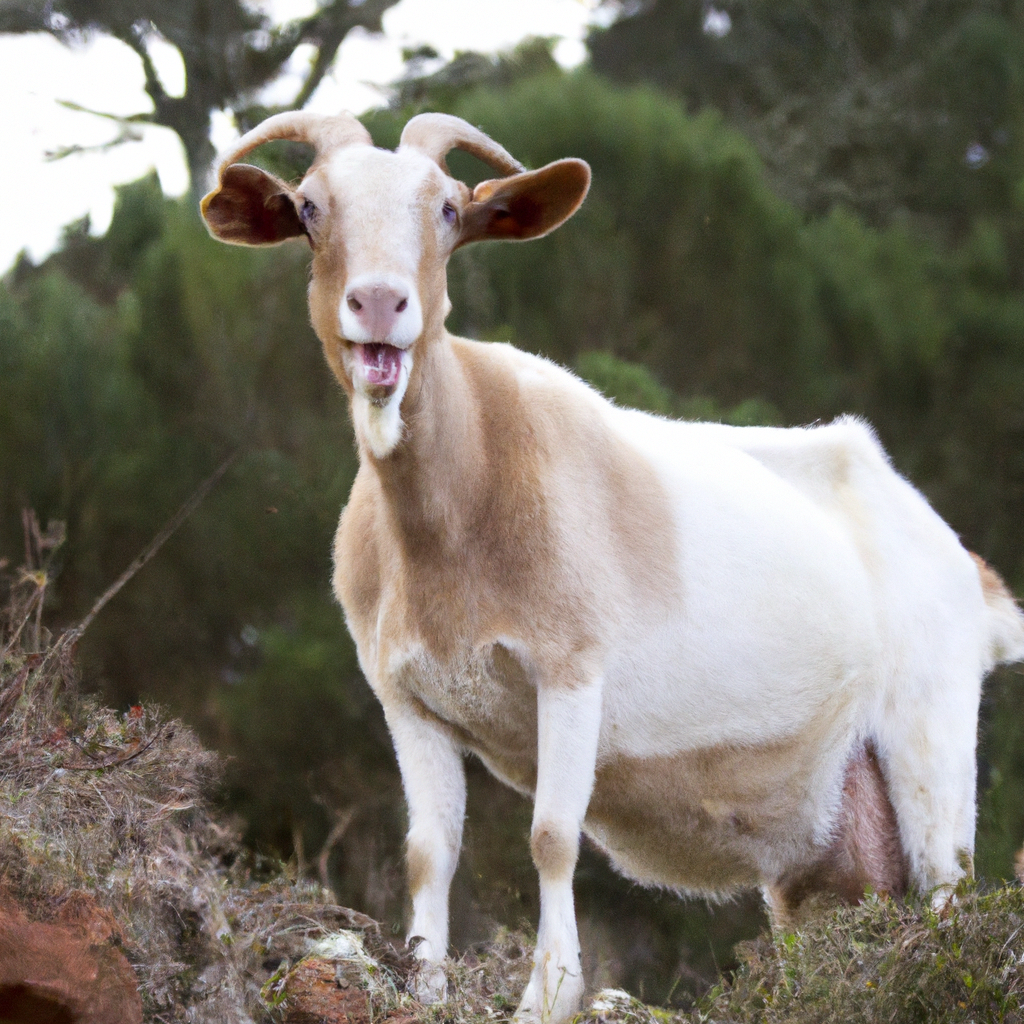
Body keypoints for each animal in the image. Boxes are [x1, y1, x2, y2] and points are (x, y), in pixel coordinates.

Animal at [199, 112, 1024, 1024]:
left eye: (449, 208)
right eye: (310, 208)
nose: (380, 305)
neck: (459, 505)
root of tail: (967, 568)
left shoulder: (570, 672)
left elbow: (552, 837)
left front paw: (547, 994)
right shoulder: (407, 698)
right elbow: (428, 849)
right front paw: (426, 984)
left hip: (931, 735)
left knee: (948, 894)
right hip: (820, 838)